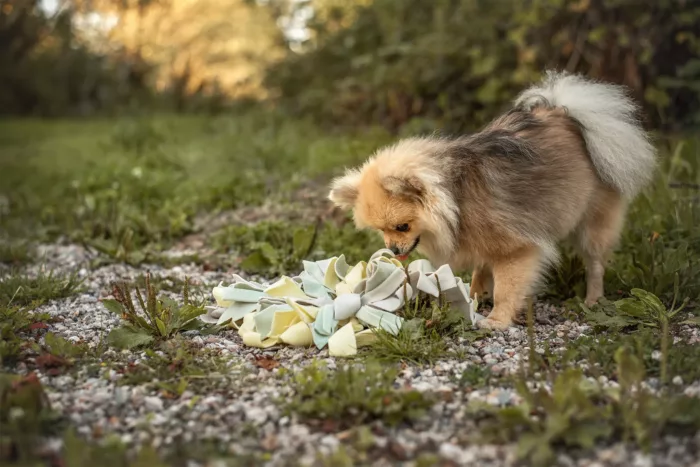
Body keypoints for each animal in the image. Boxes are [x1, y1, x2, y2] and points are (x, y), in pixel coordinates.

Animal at [326, 71, 656, 330]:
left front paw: (497, 319)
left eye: (402, 227)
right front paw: (471, 296)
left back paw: (593, 298)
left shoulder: (516, 248)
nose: (393, 250)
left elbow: (507, 288)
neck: (455, 198)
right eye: (380, 231)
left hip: (594, 223)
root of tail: (568, 115)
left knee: (596, 262)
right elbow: (480, 271)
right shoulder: (482, 238)